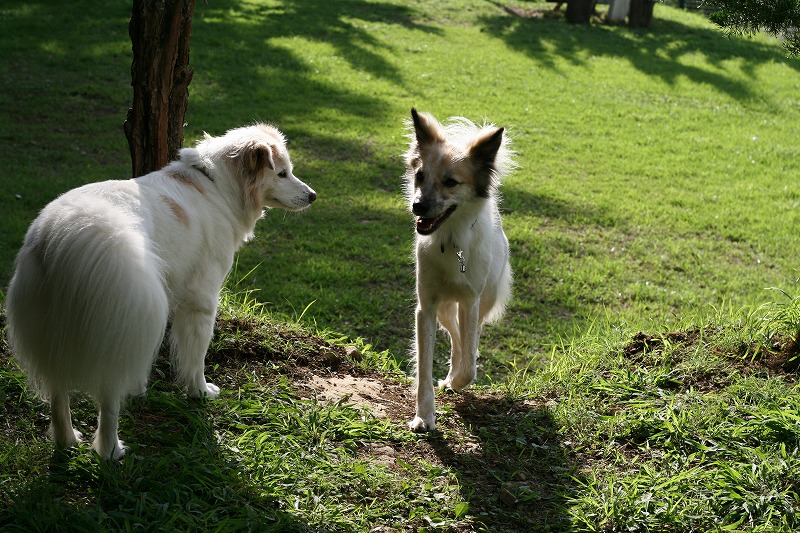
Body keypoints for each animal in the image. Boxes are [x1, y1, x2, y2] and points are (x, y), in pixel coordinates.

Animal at [3, 122, 316, 460]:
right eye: (282, 174)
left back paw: (67, 440)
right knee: (107, 399)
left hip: (50, 331)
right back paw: (110, 450)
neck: (216, 187)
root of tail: (63, 237)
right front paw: (200, 392)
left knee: (58, 391)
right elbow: (196, 356)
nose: (313, 196)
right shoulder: (201, 301)